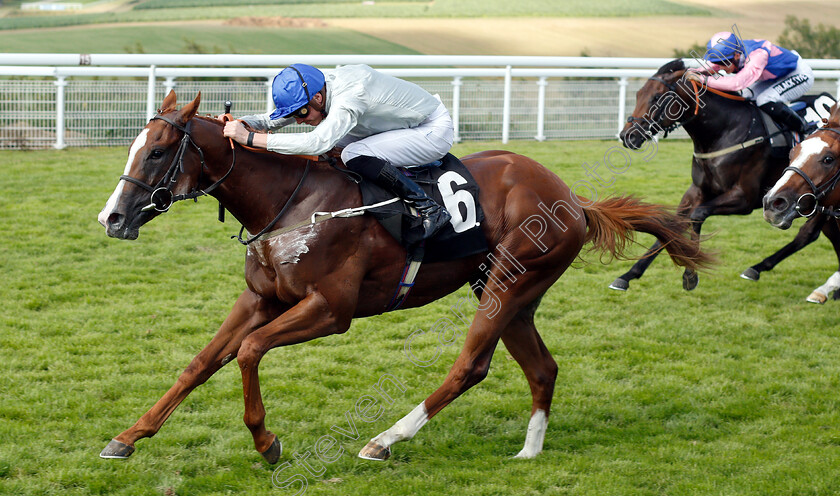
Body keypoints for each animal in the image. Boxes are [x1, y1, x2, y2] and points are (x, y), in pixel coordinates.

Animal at [98, 91, 712, 464]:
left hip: (509, 283)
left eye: (157, 152)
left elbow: (248, 352)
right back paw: (529, 452)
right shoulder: (260, 298)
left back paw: (385, 439)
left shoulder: (331, 310)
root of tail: (572, 198)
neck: (292, 202)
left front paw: (267, 441)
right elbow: (201, 363)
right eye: (136, 146)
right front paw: (128, 437)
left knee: (471, 365)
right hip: (510, 289)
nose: (112, 218)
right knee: (541, 367)